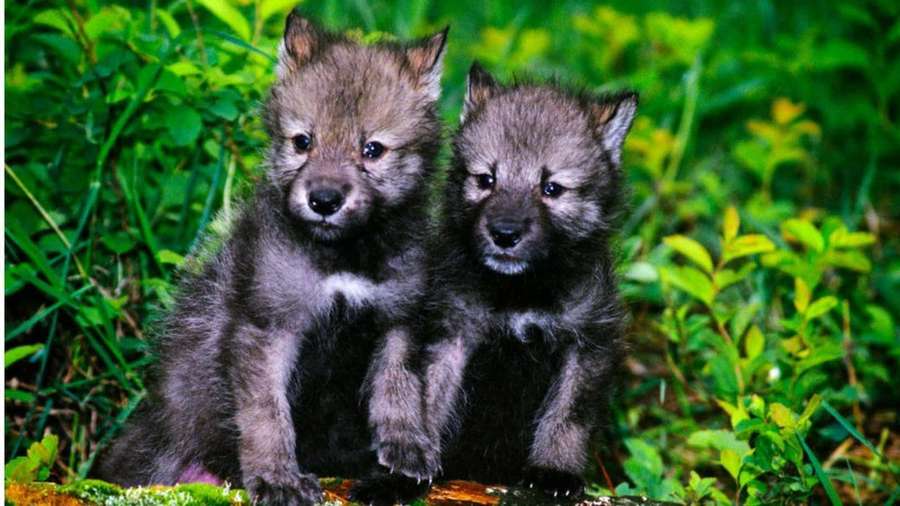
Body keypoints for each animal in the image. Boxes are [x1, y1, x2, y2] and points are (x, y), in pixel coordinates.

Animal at [94, 12, 447, 505]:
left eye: (372, 149)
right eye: (303, 141)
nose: (324, 200)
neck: (342, 259)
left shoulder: (396, 322)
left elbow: (398, 390)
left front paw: (407, 449)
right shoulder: (268, 328)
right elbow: (267, 416)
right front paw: (277, 478)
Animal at [415, 63, 636, 497]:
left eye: (551, 188)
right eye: (486, 179)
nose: (504, 233)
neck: (521, 294)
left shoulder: (585, 345)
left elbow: (567, 415)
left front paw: (555, 471)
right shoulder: (451, 335)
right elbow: (428, 405)